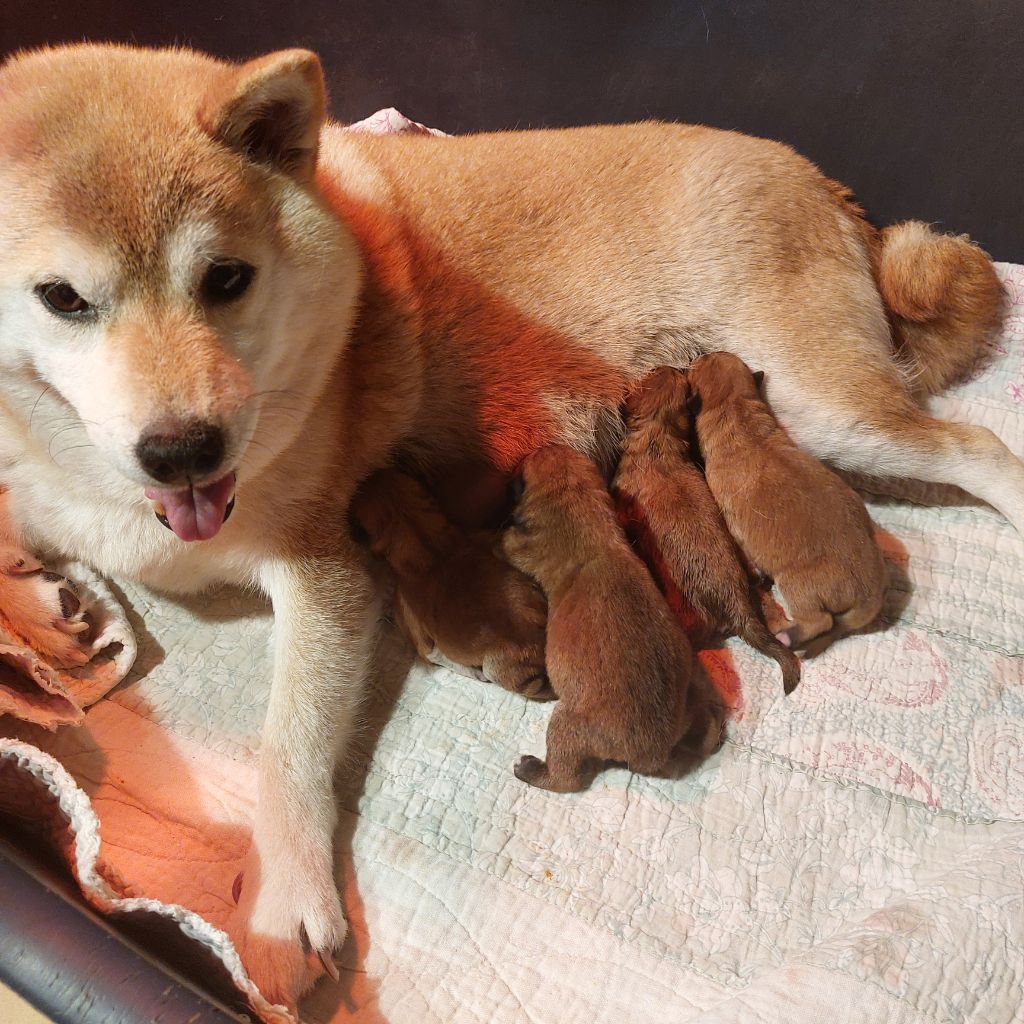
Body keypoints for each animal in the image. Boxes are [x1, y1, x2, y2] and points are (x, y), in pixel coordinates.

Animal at [503, 442, 720, 790]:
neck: (578, 502)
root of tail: (653, 755)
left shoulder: (522, 548)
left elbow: (507, 542)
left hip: (566, 724)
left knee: (565, 777)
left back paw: (531, 770)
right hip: (690, 701)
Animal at [688, 352, 888, 647]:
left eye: (700, 361)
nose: (699, 353)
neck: (737, 413)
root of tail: (869, 594)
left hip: (798, 586)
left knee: (820, 621)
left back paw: (787, 636)